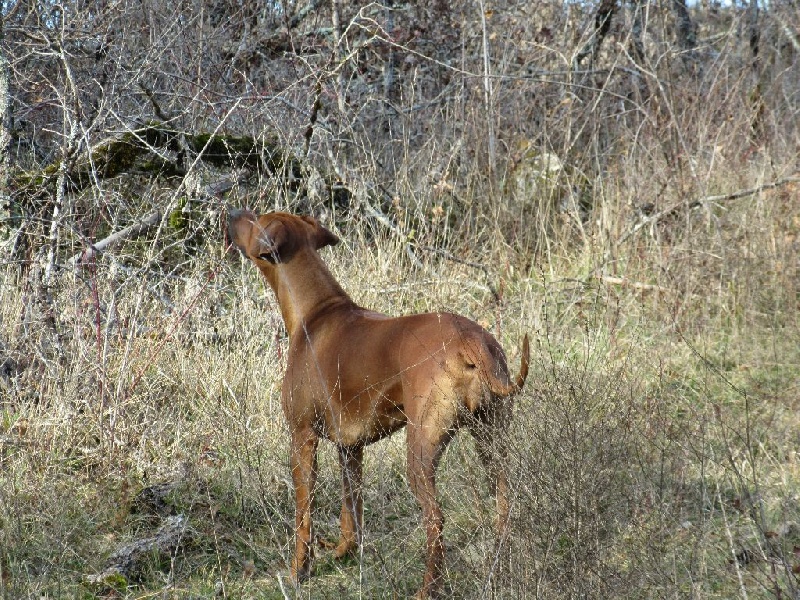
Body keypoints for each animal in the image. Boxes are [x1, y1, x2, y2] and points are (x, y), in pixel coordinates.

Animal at [227, 209, 529, 598]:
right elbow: (350, 509)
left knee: (436, 520)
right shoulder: (349, 448)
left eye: (255, 220)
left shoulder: (302, 438)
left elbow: (303, 514)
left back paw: (427, 589)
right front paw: (344, 553)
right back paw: (498, 563)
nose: (232, 213)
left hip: (420, 453)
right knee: (504, 502)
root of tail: (471, 339)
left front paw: (298, 572)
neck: (316, 314)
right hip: (493, 442)